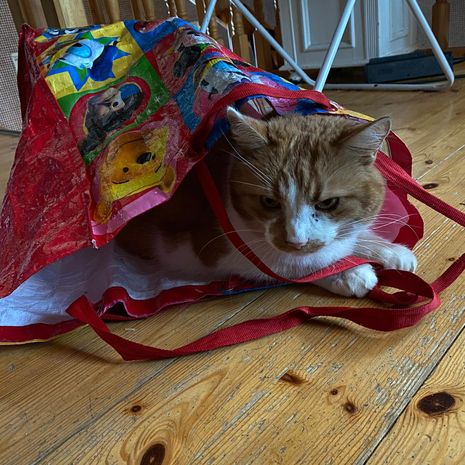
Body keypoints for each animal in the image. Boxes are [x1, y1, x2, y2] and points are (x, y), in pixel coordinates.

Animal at [116, 108, 417, 297]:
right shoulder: (203, 249)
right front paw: (348, 272)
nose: (296, 240)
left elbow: (348, 236)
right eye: (269, 202)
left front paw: (387, 250)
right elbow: (293, 263)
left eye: (328, 203)